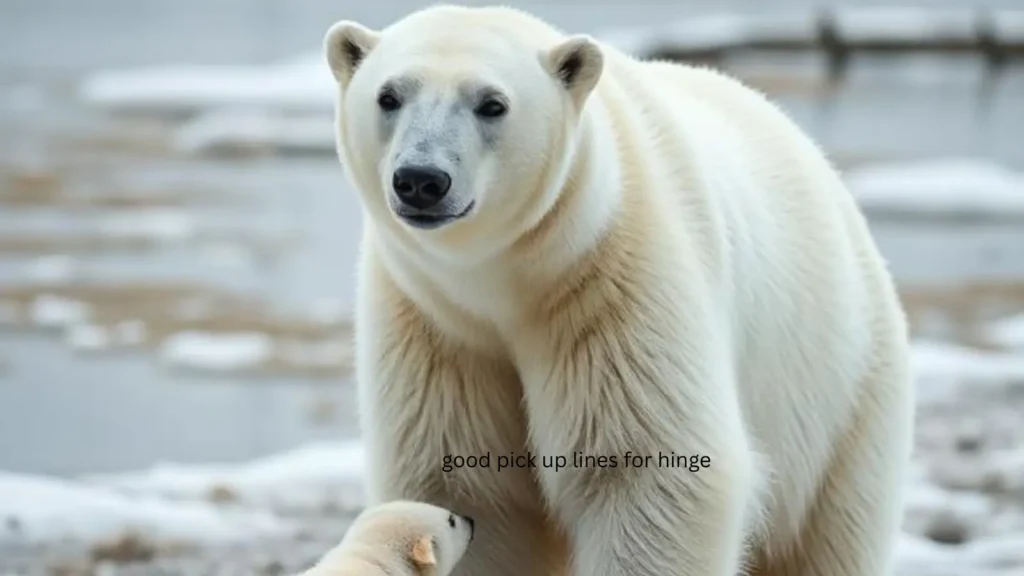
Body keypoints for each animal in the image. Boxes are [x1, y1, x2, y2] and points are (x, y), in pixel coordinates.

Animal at [322, 5, 915, 576]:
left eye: (492, 104)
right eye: (389, 95)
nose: (421, 179)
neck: (508, 281)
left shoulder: (617, 286)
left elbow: (649, 468)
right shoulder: (435, 324)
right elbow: (466, 480)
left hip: (842, 398)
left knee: (826, 539)